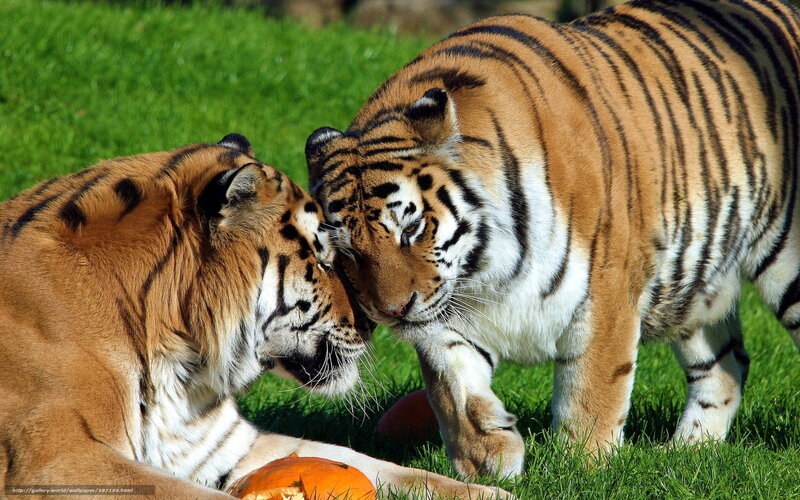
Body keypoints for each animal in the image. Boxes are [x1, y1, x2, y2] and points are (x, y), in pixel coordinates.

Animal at [0, 134, 508, 499]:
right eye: (321, 257)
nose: (372, 324)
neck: (178, 357)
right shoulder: (55, 459)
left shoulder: (224, 446)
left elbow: (366, 461)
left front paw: (492, 492)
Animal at [304, 0, 800, 478]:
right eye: (346, 251)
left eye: (410, 228)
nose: (391, 312)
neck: (484, 269)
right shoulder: (444, 314)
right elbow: (453, 386)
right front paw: (487, 456)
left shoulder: (606, 292)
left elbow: (591, 391)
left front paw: (583, 467)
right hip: (696, 288)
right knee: (726, 368)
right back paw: (687, 453)